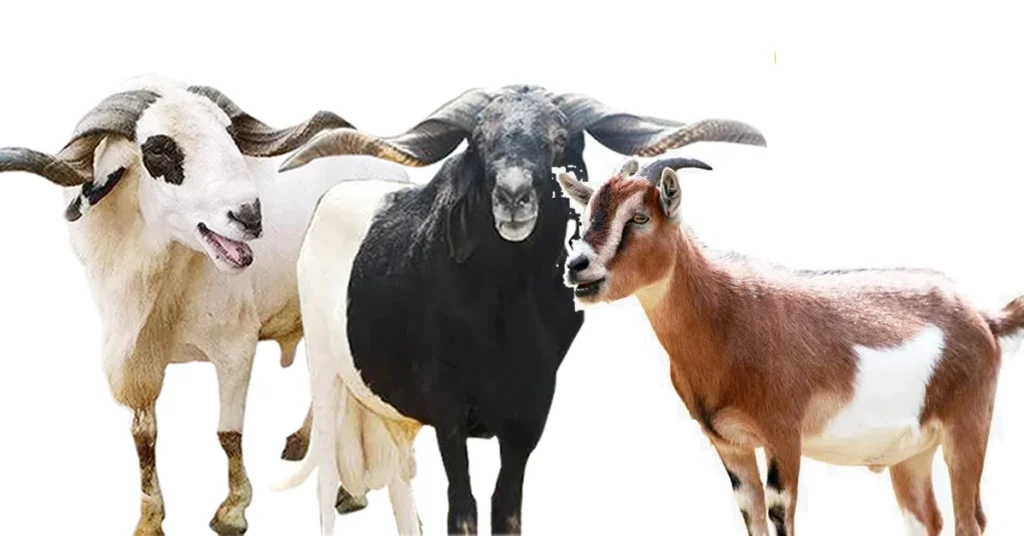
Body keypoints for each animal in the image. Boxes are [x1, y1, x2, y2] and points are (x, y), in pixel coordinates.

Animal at [0, 75, 409, 536]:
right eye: (158, 148)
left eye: (228, 135)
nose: (249, 216)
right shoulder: (137, 360)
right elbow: (144, 437)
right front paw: (150, 520)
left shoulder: (235, 349)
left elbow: (228, 434)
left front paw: (232, 512)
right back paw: (305, 443)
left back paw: (351, 492)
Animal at [271, 85, 766, 535]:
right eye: (478, 140)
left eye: (560, 138)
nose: (512, 196)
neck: (503, 317)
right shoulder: (448, 415)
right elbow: (463, 509)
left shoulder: (527, 420)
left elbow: (506, 509)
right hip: (326, 375)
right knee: (327, 478)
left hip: (391, 410)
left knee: (400, 482)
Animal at [558, 157, 1024, 536]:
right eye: (589, 212)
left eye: (639, 217)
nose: (577, 266)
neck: (727, 313)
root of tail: (982, 317)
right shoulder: (731, 445)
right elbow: (752, 518)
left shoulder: (783, 437)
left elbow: (782, 517)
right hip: (912, 455)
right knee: (929, 519)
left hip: (966, 429)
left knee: (970, 519)